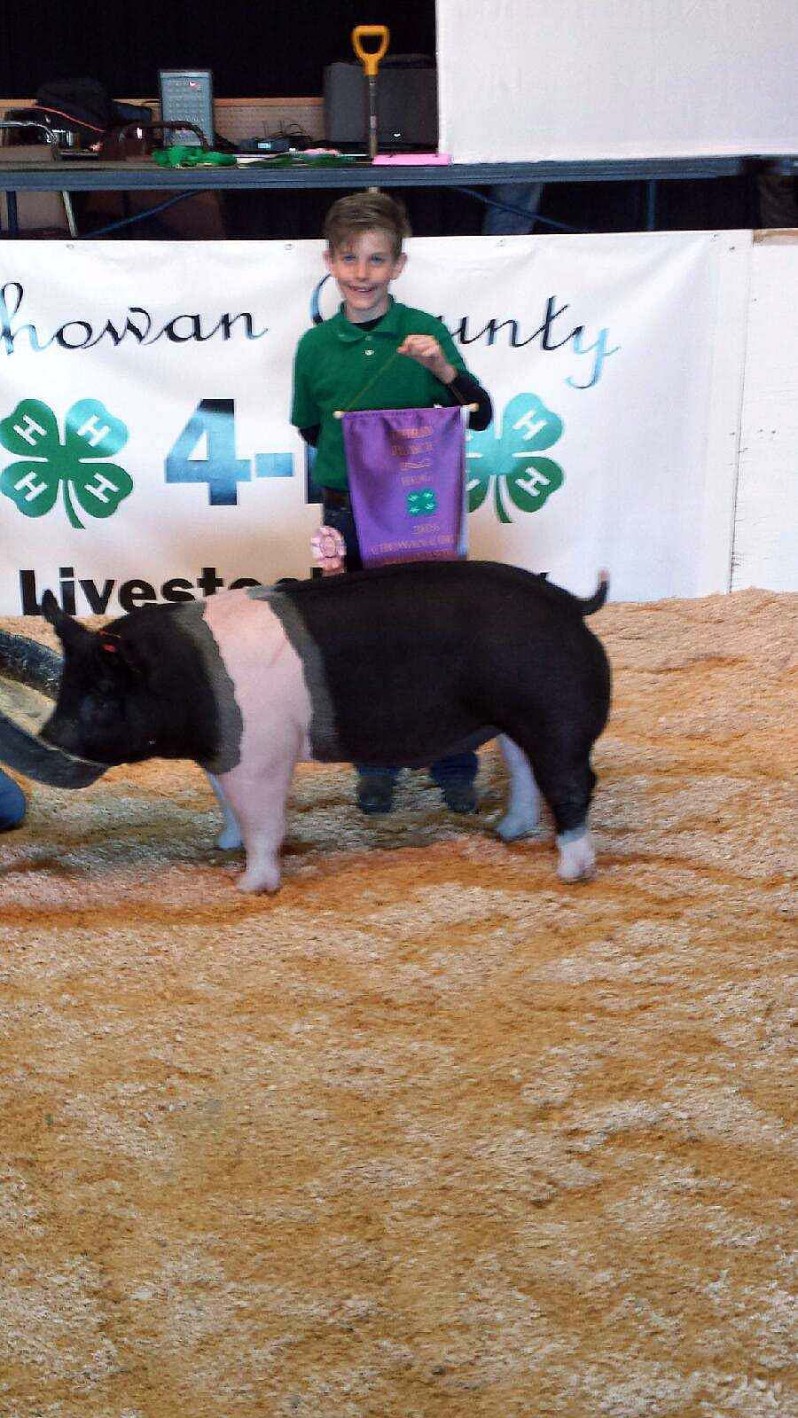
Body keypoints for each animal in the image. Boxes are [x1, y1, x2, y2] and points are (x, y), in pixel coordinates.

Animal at [0, 558, 612, 890]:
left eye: (102, 697)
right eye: (67, 687)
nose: (48, 738)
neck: (188, 682)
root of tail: (568, 602)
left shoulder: (261, 756)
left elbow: (264, 823)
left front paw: (250, 886)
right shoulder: (224, 756)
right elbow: (230, 809)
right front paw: (222, 844)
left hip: (556, 715)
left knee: (574, 783)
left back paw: (572, 871)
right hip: (515, 720)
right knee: (525, 771)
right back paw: (508, 832)